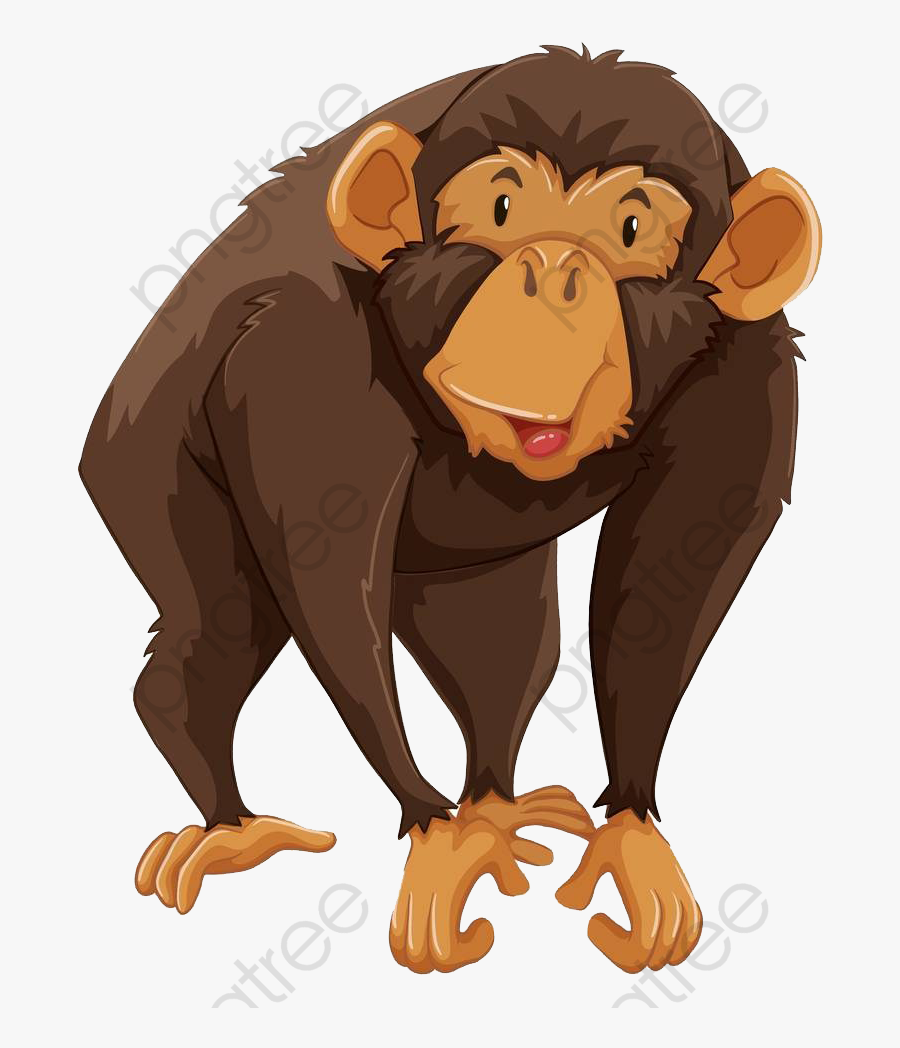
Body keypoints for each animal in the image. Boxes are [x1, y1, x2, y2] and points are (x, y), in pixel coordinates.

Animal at [80, 46, 820, 976]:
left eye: (629, 231)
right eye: (502, 209)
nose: (552, 272)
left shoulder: (751, 379)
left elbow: (674, 574)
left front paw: (629, 834)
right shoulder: (302, 352)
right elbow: (329, 579)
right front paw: (434, 832)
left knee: (497, 638)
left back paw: (495, 804)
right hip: (131, 465)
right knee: (215, 626)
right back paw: (235, 827)